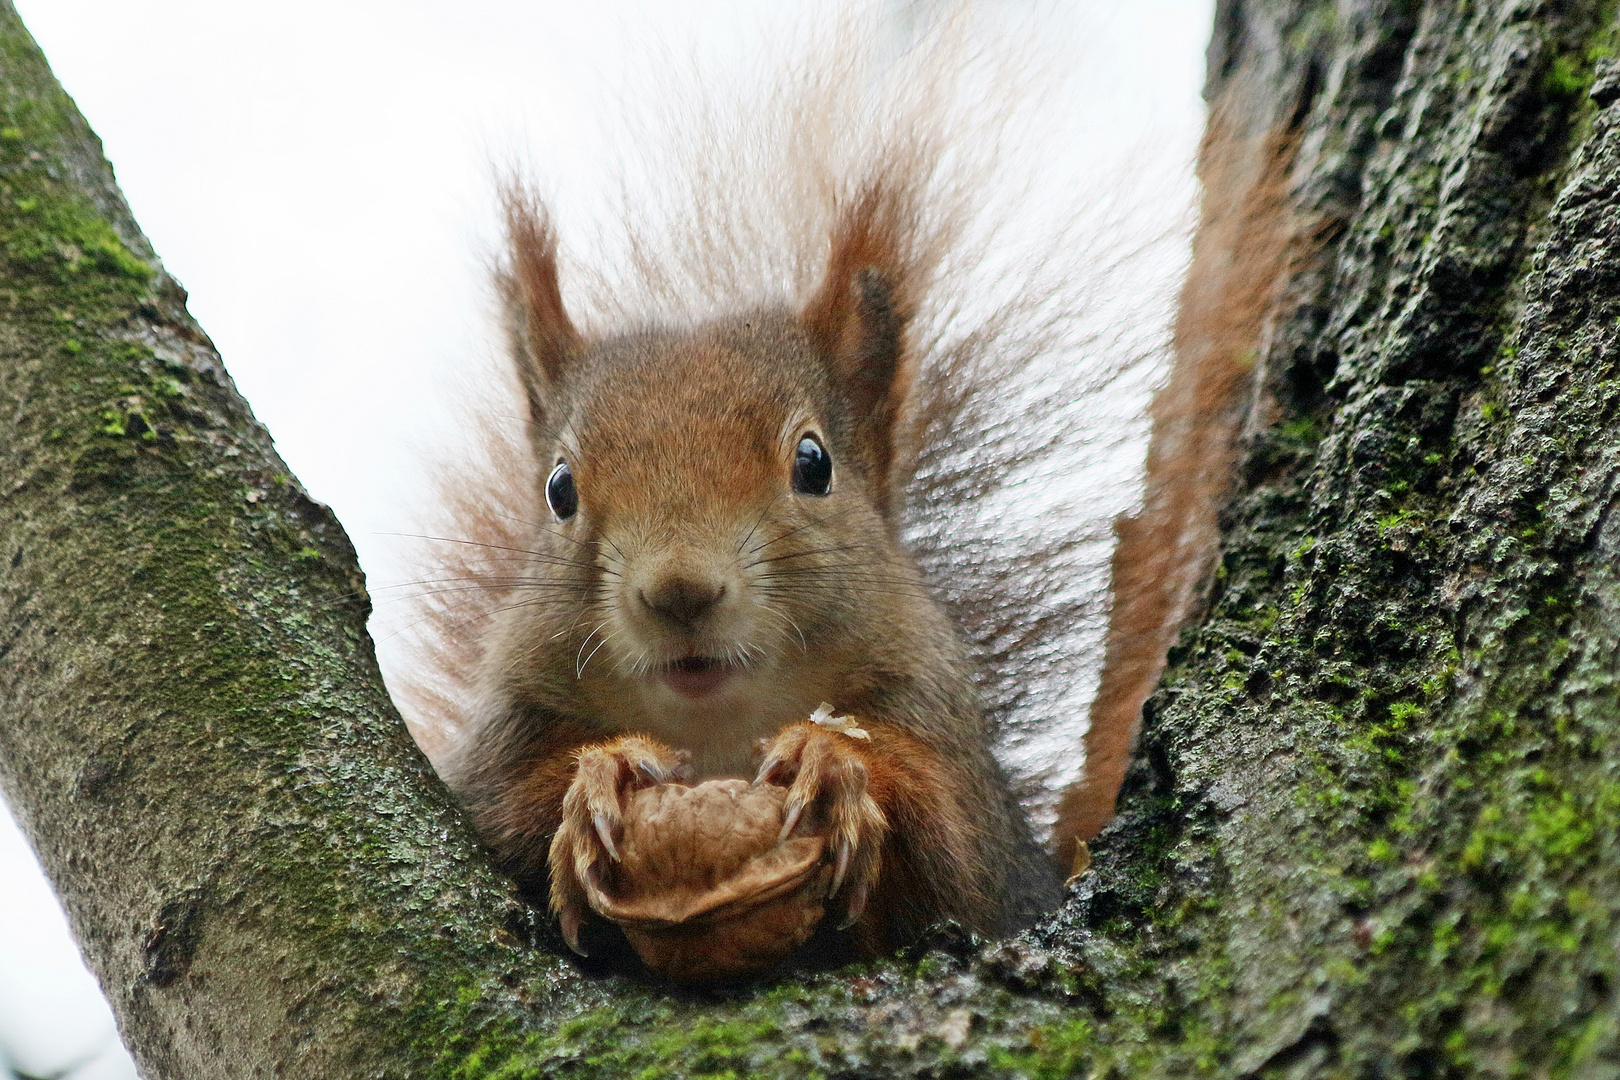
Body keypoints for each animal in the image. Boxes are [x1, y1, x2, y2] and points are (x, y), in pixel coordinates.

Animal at [385, 14, 1296, 965]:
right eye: (559, 489)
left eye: (814, 465)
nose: (680, 592)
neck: (717, 735)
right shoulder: (496, 756)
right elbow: (499, 817)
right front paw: (604, 771)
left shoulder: (960, 786)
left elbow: (949, 842)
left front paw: (836, 764)